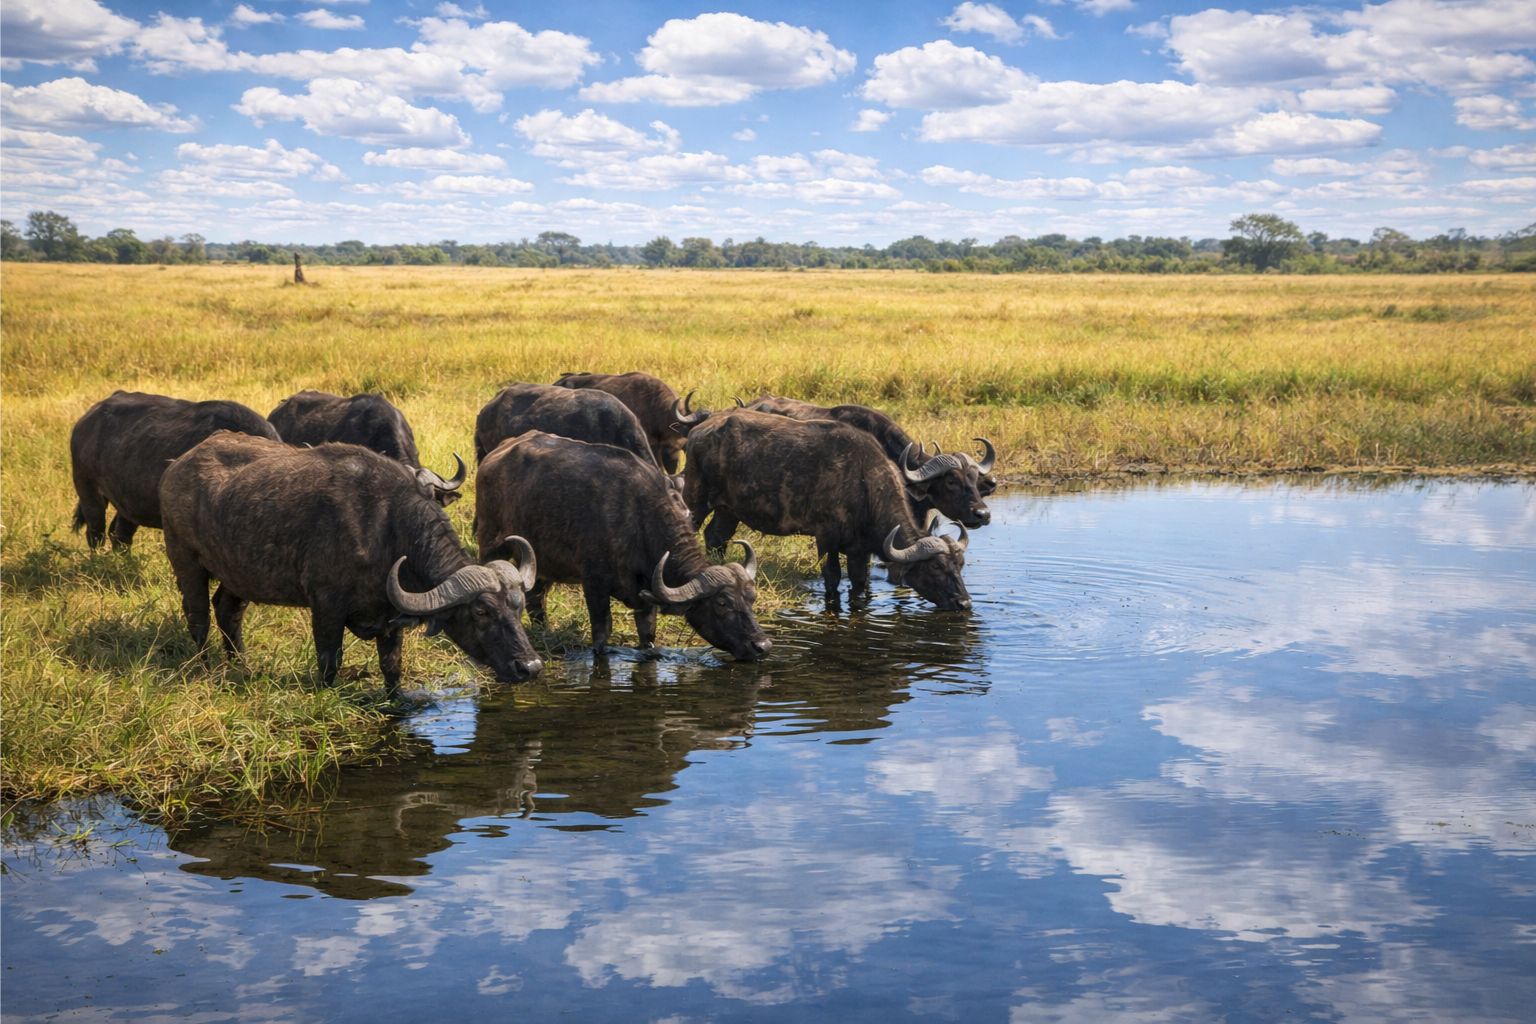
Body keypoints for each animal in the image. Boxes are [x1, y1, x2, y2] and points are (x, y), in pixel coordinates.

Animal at [160, 433, 543, 693]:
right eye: (481, 611)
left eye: (518, 605)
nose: (531, 666)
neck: (385, 529)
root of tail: (177, 466)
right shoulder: (326, 608)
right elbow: (330, 662)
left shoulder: (390, 618)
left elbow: (392, 667)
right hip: (186, 561)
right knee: (198, 617)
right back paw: (206, 667)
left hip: (238, 574)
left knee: (228, 610)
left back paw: (242, 665)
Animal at [475, 431, 770, 660]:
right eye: (722, 604)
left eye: (751, 598)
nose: (762, 645)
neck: (637, 519)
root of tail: (494, 456)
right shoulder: (593, 583)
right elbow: (602, 632)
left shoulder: (646, 595)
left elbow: (648, 635)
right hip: (491, 543)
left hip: (540, 561)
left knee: (537, 598)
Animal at [684, 410, 971, 611]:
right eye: (935, 568)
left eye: (960, 565)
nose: (964, 603)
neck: (863, 483)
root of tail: (699, 430)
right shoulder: (826, 540)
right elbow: (832, 579)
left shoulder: (859, 549)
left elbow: (859, 583)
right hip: (695, 498)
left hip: (728, 510)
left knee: (716, 537)